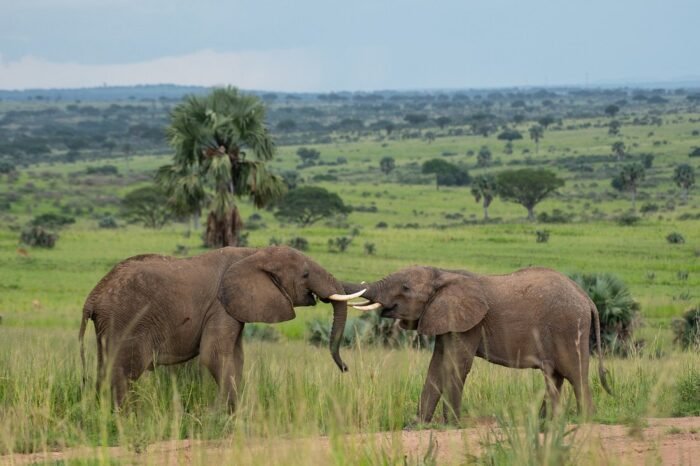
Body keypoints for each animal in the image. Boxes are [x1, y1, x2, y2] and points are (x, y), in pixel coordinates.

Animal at [78, 246, 364, 409]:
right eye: (305, 275)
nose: (346, 368)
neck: (253, 252)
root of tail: (92, 297)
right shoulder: (220, 306)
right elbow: (215, 356)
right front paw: (225, 416)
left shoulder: (232, 309)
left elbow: (235, 358)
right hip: (125, 320)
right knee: (124, 371)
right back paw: (124, 419)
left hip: (109, 325)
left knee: (105, 368)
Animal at [344, 266, 612, 424]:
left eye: (406, 288)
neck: (443, 273)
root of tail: (587, 297)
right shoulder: (445, 317)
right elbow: (436, 367)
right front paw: (418, 425)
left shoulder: (469, 323)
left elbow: (455, 366)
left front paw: (452, 425)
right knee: (554, 376)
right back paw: (547, 422)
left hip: (569, 326)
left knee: (575, 374)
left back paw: (585, 420)